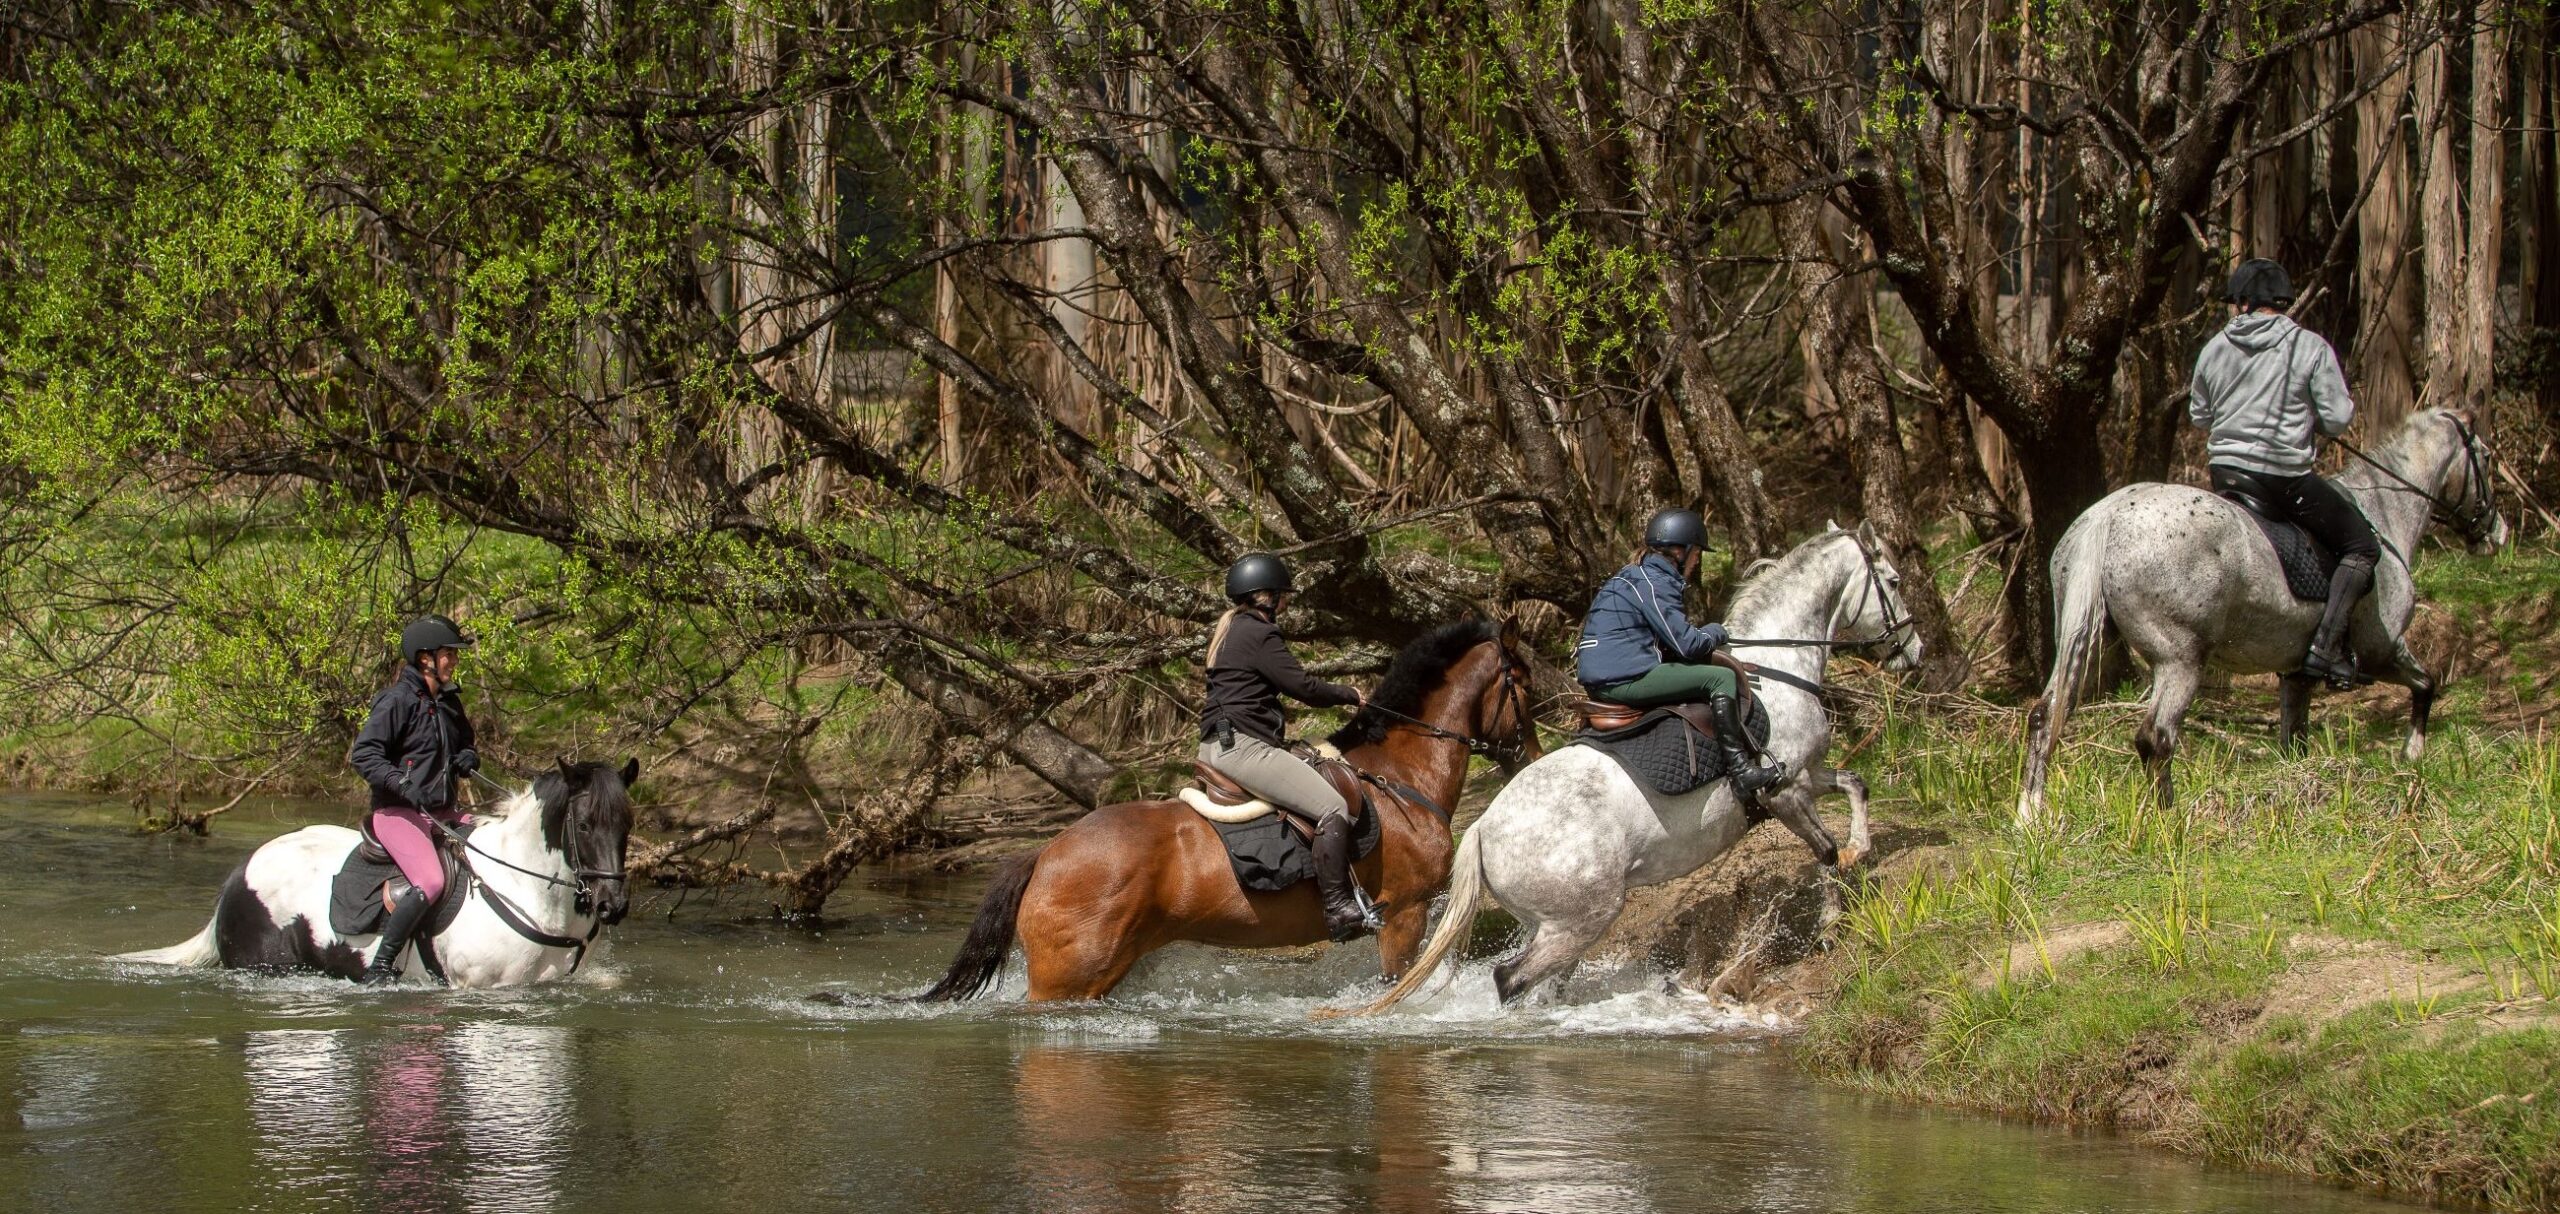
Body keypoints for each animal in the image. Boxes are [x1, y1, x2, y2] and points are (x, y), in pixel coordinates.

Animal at [926, 622, 1536, 998]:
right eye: (1524, 686)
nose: (1528, 756)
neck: (1400, 779)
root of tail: (1046, 853)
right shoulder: (1406, 914)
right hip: (1068, 978)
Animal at [1341, 522, 1925, 1003]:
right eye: (1895, 581)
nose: (1915, 654)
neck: (1775, 669)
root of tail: (1482, 828)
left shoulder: (1807, 772)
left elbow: (1855, 784)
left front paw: (1861, 849)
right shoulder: (1784, 790)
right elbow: (1823, 851)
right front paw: (1830, 920)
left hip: (1550, 922)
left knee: (1540, 981)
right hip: (1584, 917)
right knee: (1511, 980)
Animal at [2017, 409, 2498, 824]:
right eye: (2488, 459)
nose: (2496, 531)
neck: (2384, 517)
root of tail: (2109, 514)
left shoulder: (2296, 675)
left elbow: (2294, 740)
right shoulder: (2383, 650)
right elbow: (2426, 684)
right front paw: (2413, 755)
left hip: (2090, 642)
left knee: (2045, 715)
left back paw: (2030, 816)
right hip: (2180, 661)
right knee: (2156, 737)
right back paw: (2170, 821)